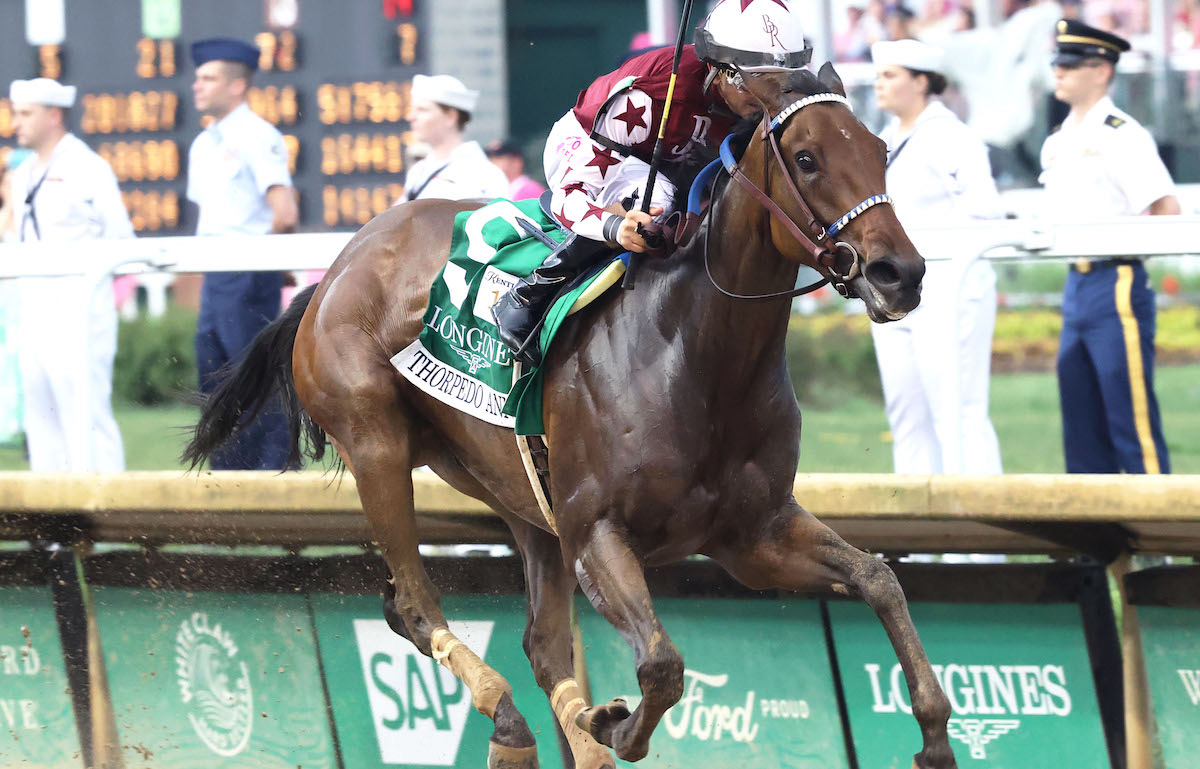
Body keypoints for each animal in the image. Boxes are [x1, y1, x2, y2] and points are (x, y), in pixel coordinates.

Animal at [184, 65, 955, 767]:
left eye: (881, 150)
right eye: (806, 157)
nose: (900, 274)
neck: (692, 354)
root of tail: (338, 266)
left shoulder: (752, 535)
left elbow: (878, 578)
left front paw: (934, 736)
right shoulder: (597, 532)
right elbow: (662, 666)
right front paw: (612, 721)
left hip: (521, 497)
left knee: (540, 642)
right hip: (377, 443)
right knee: (412, 603)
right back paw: (513, 720)